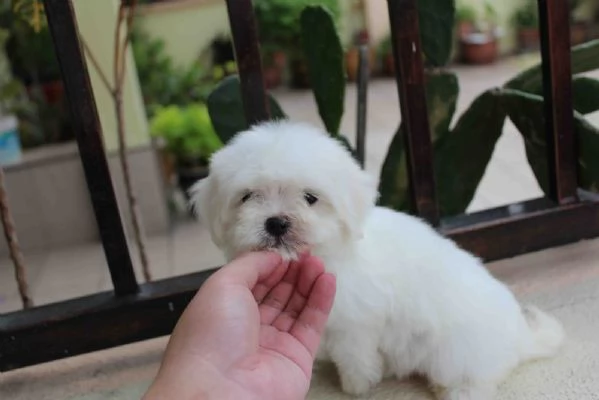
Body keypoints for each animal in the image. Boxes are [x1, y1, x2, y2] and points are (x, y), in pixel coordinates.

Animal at [192, 120, 568, 398]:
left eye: (310, 198)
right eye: (247, 196)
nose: (276, 222)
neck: (336, 252)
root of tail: (519, 339)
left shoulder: (355, 325)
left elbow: (355, 357)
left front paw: (355, 386)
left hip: (457, 355)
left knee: (472, 383)